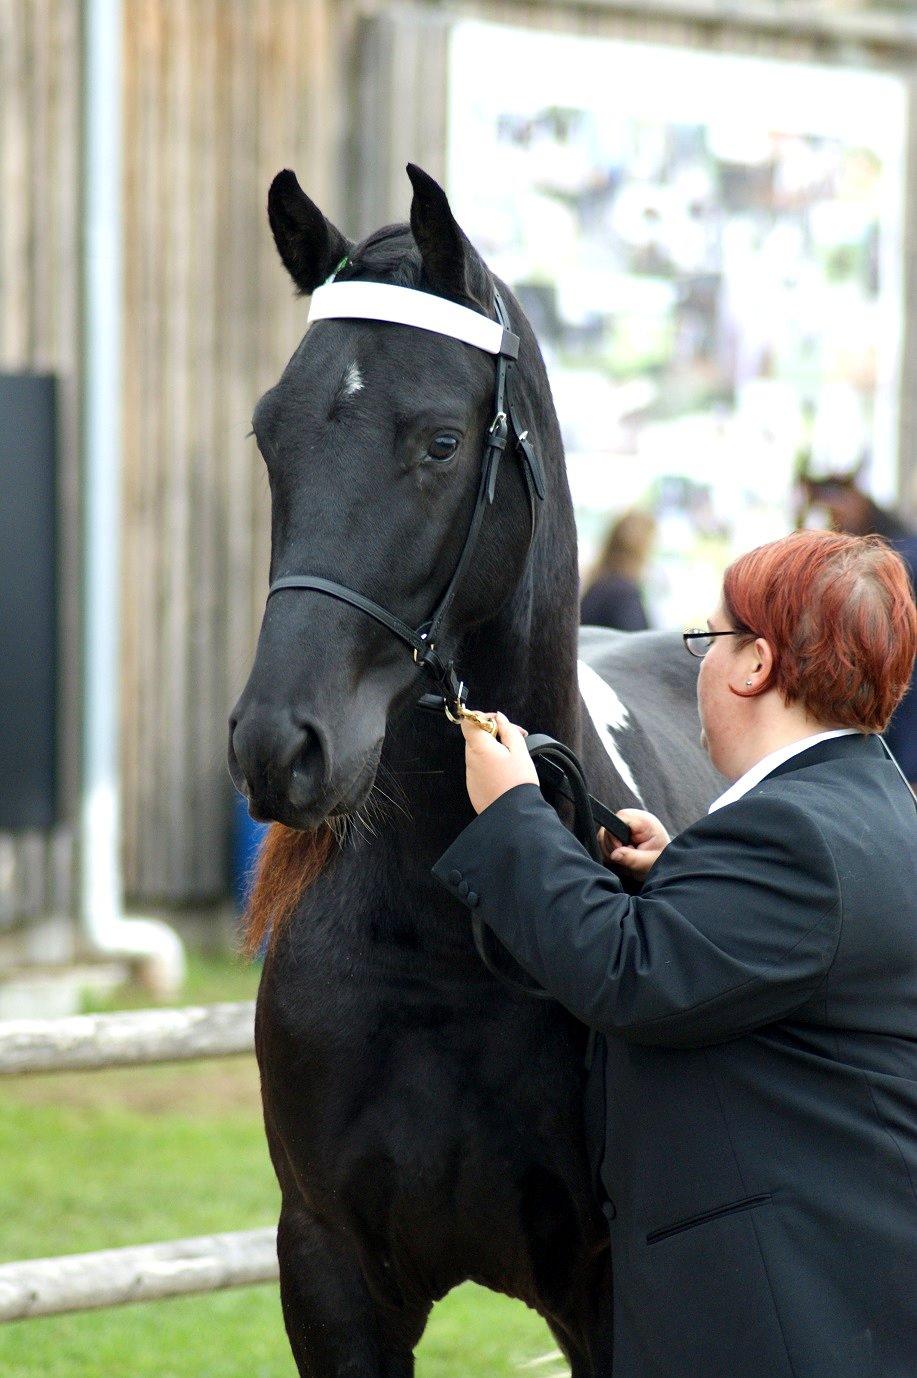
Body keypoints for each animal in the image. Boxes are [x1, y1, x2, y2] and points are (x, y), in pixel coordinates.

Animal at [228, 163, 722, 1378]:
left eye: (441, 443)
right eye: (269, 436)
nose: (279, 745)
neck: (437, 939)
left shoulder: (604, 1292)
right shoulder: (331, 1278)